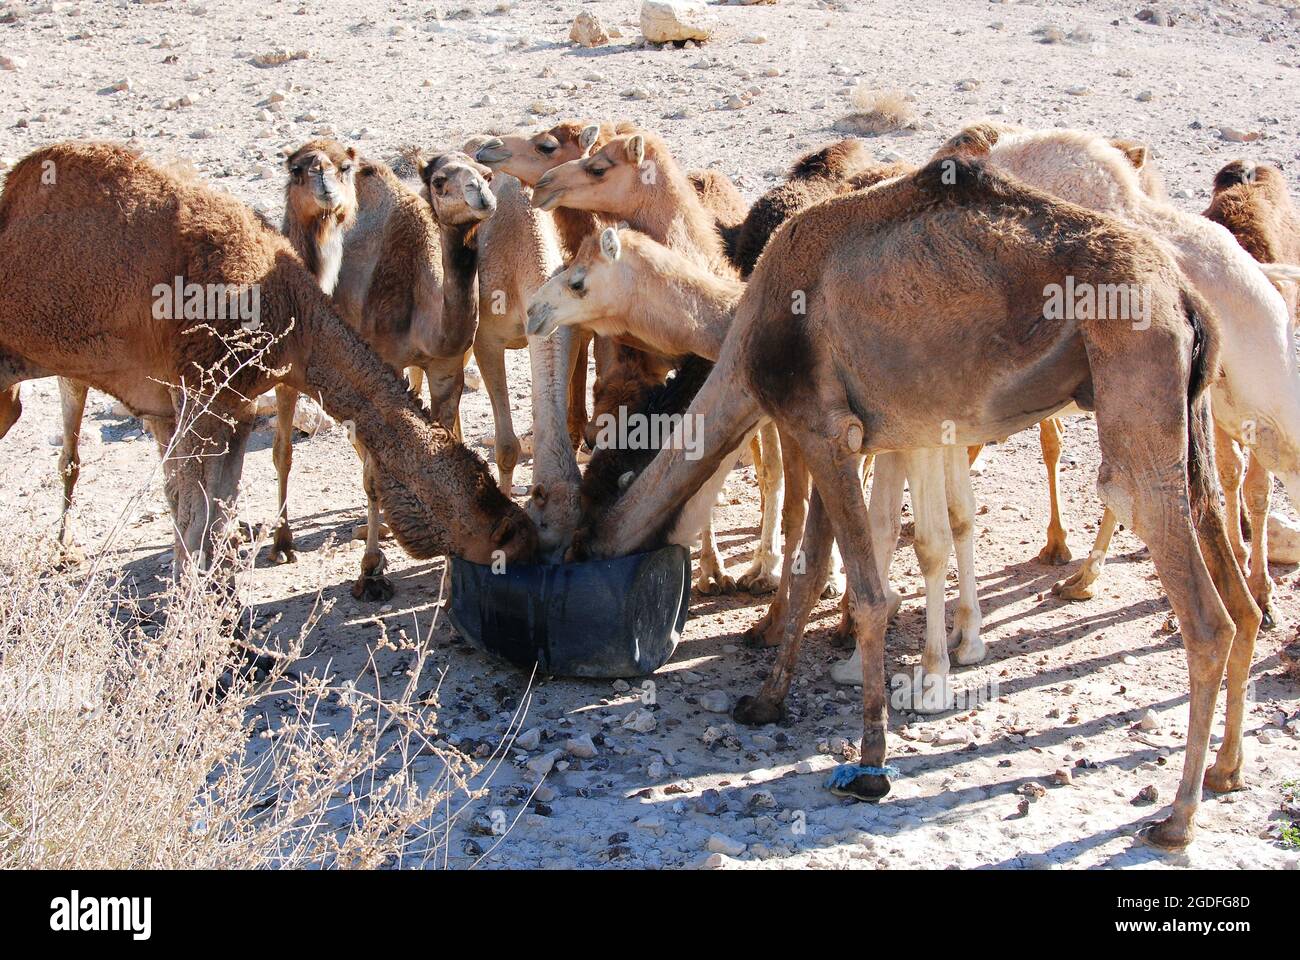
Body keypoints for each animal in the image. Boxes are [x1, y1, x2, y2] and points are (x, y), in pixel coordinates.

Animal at [0, 141, 537, 600]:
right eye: (491, 519)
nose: (527, 532)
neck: (291, 312)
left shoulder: (229, 406)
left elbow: (210, 510)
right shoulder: (202, 393)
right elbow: (196, 513)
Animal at [571, 153, 1257, 850]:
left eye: (588, 517)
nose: (579, 549)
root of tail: (1185, 297)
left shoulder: (818, 425)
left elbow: (871, 596)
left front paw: (872, 764)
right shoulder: (837, 434)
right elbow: (813, 570)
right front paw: (765, 701)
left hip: (1136, 376)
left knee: (1203, 610)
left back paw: (1178, 817)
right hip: (1189, 416)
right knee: (1237, 592)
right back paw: (1227, 770)